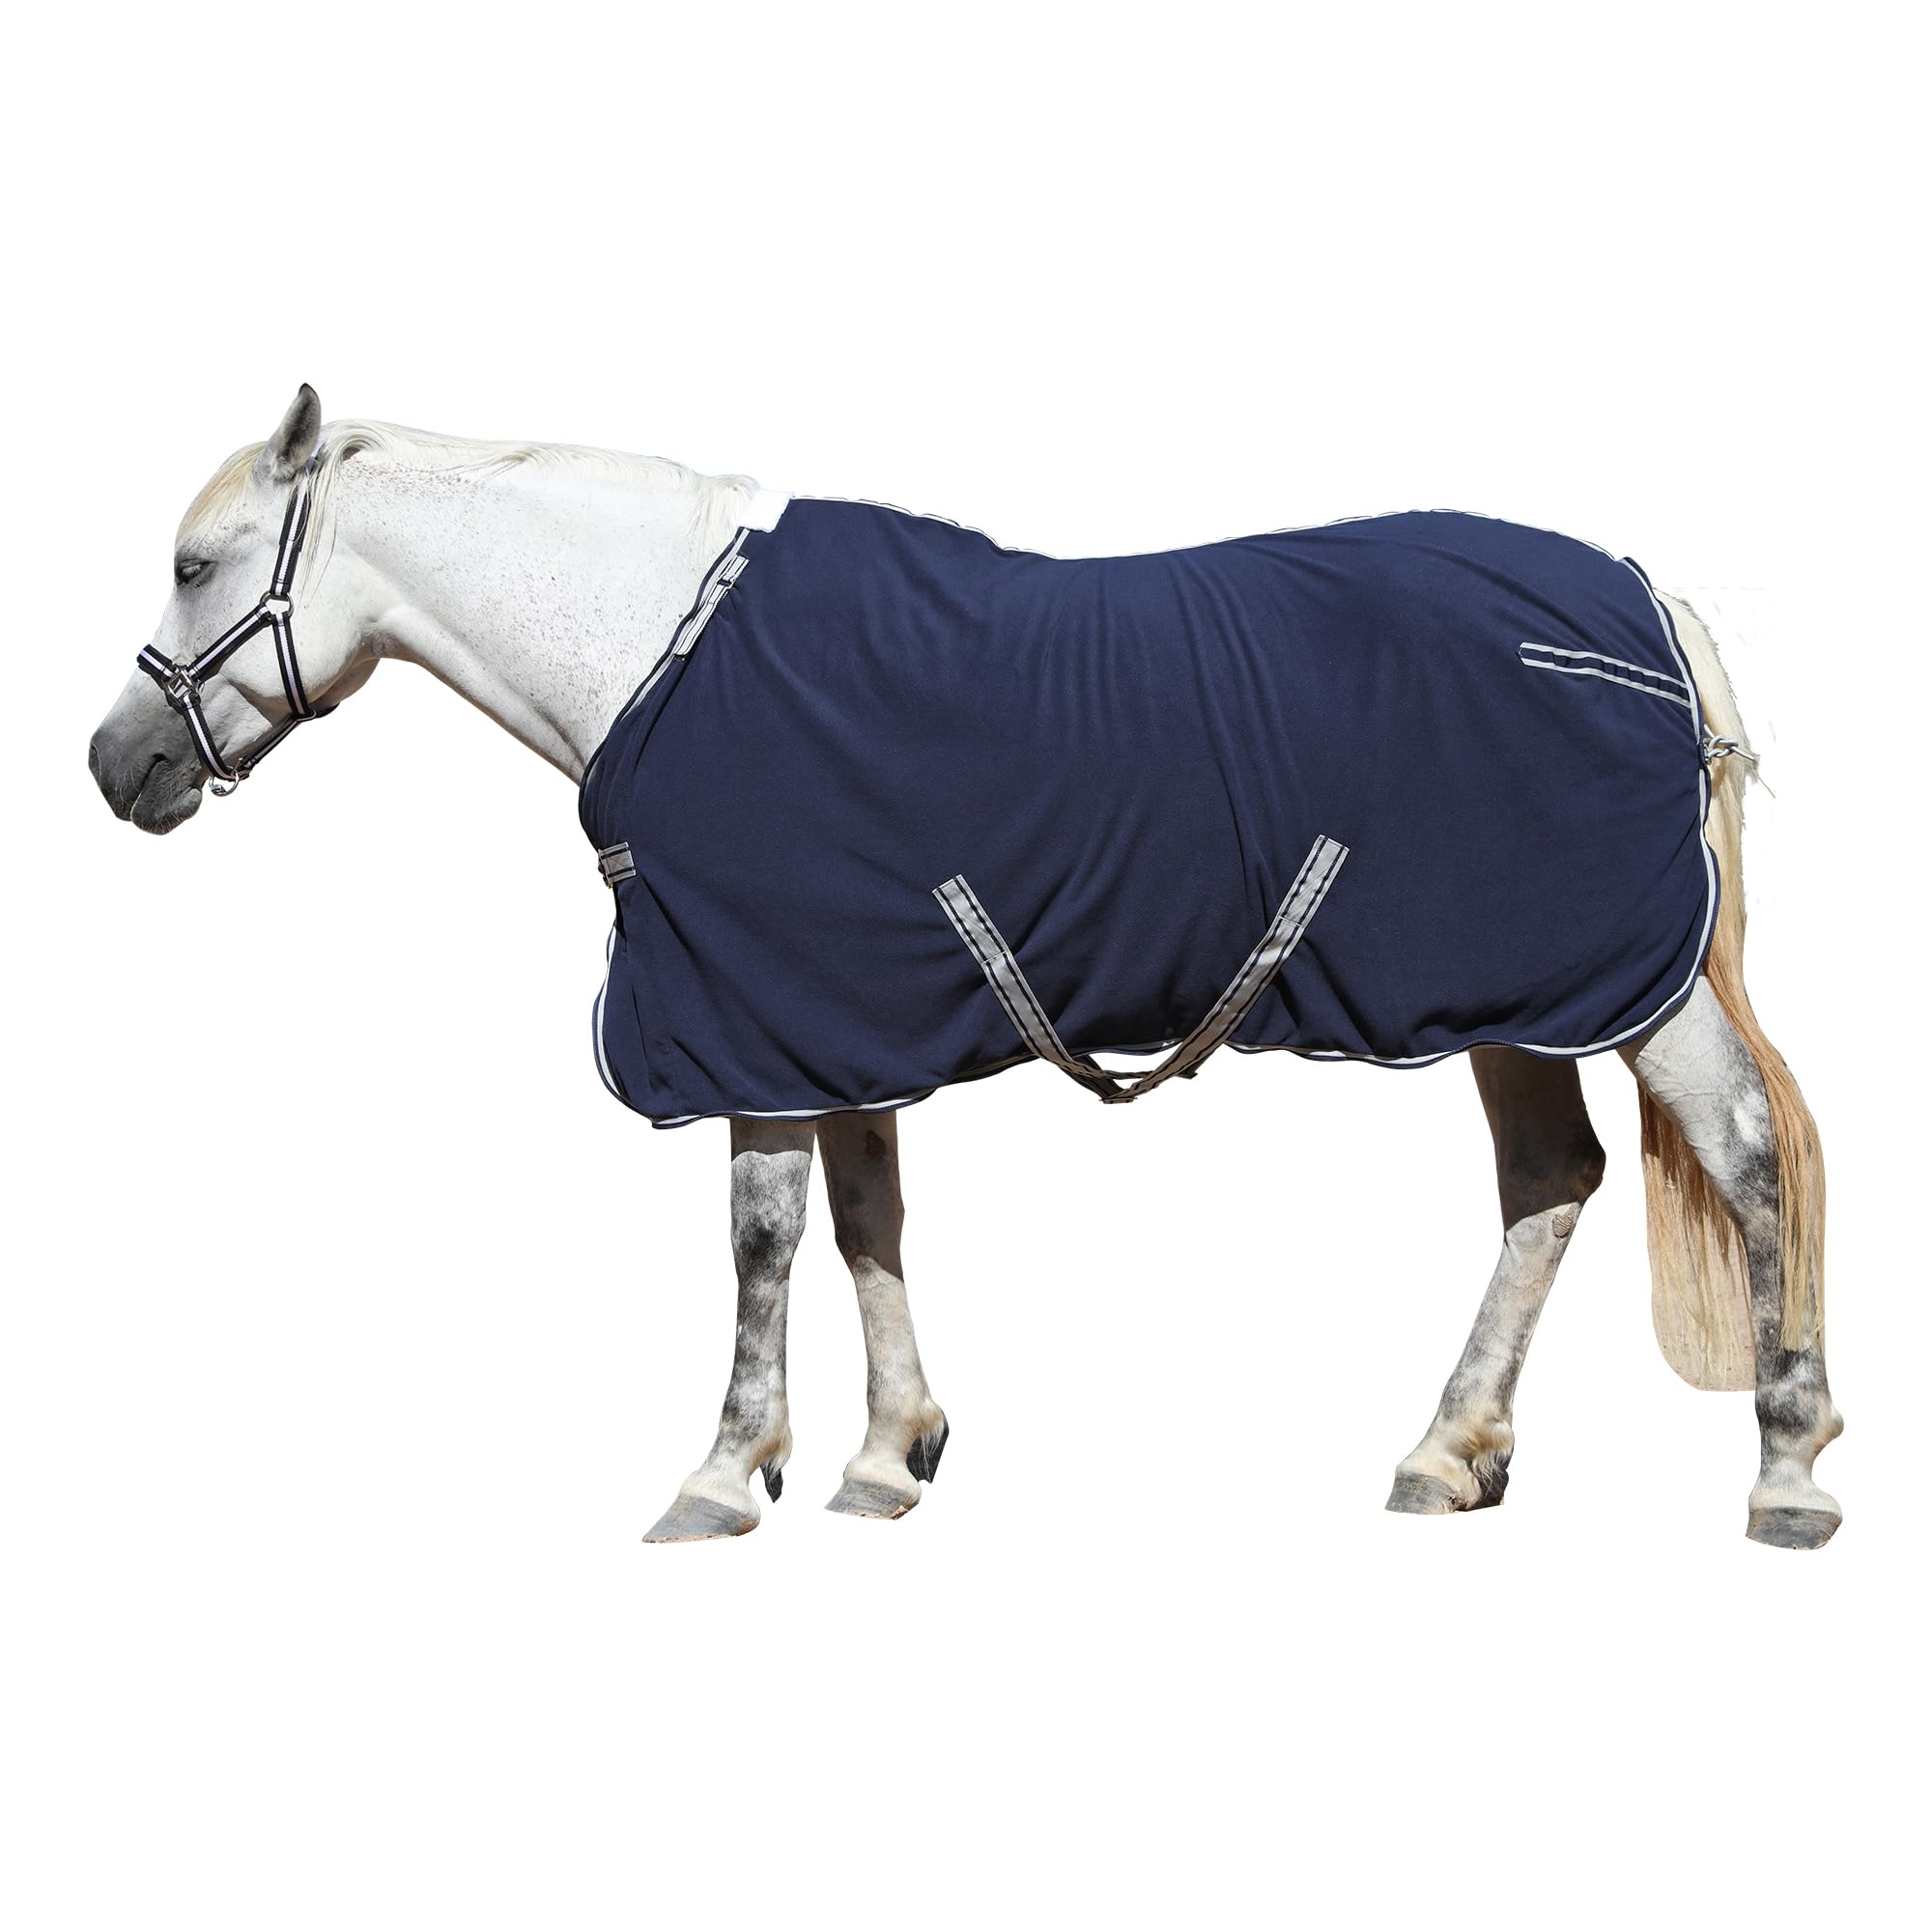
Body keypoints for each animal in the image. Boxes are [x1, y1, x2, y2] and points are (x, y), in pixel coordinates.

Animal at [88, 387, 1843, 1549]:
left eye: (195, 563)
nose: (115, 769)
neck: (662, 650)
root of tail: (1644, 605)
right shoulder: (829, 1012)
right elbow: (869, 1220)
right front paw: (884, 1458)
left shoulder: (750, 1015)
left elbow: (764, 1239)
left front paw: (722, 1475)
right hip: (1509, 995)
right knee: (1551, 1182)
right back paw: (1447, 1451)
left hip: (1629, 992)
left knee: (1750, 1151)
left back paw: (1788, 1464)